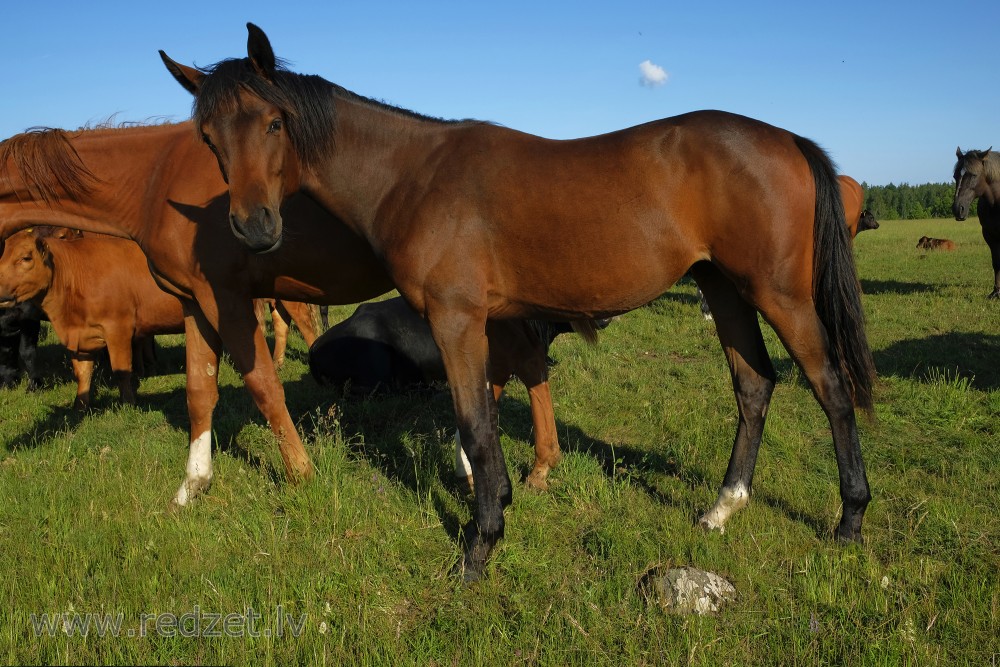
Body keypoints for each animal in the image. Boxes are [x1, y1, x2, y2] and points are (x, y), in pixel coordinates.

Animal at [0, 122, 576, 504]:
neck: (155, 179)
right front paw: (193, 483)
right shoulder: (193, 303)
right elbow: (199, 392)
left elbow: (263, 385)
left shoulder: (227, 299)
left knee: (523, 366)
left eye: (26, 255)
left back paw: (534, 466)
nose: (7, 303)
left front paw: (301, 472)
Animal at [158, 24, 876, 580]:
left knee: (830, 387)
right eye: (210, 138)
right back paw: (723, 507)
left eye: (275, 122)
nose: (255, 228)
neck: (413, 177)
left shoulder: (455, 319)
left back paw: (849, 520)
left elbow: (475, 424)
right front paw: (501, 501)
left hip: (778, 294)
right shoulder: (491, 326)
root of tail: (786, 139)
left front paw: (479, 548)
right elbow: (490, 415)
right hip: (723, 288)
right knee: (754, 385)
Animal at [952, 151, 1000, 300]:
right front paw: (996, 292)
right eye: (955, 176)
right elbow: (996, 263)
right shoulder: (990, 236)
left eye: (974, 175)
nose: (958, 209)